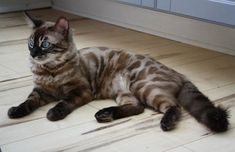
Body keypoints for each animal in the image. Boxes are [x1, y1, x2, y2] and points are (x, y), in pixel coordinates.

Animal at [8, 12, 229, 132]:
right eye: (30, 43)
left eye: (45, 44)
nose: (33, 54)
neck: (50, 70)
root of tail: (179, 74)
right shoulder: (40, 91)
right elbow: (27, 103)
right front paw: (16, 111)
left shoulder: (80, 91)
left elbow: (64, 103)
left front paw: (53, 113)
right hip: (125, 92)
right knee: (137, 107)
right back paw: (105, 114)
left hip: (142, 86)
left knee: (173, 107)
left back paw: (165, 123)